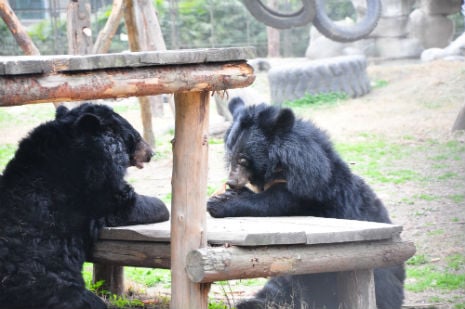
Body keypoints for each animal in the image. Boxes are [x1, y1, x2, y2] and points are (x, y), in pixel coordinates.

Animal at [0, 104, 169, 308]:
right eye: (134, 136)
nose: (151, 153)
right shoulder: (93, 188)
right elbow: (127, 203)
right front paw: (161, 205)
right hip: (49, 285)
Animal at [208, 98, 404, 308]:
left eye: (243, 159)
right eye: (230, 155)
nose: (231, 182)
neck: (281, 165)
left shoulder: (311, 191)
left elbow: (273, 202)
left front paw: (219, 202)